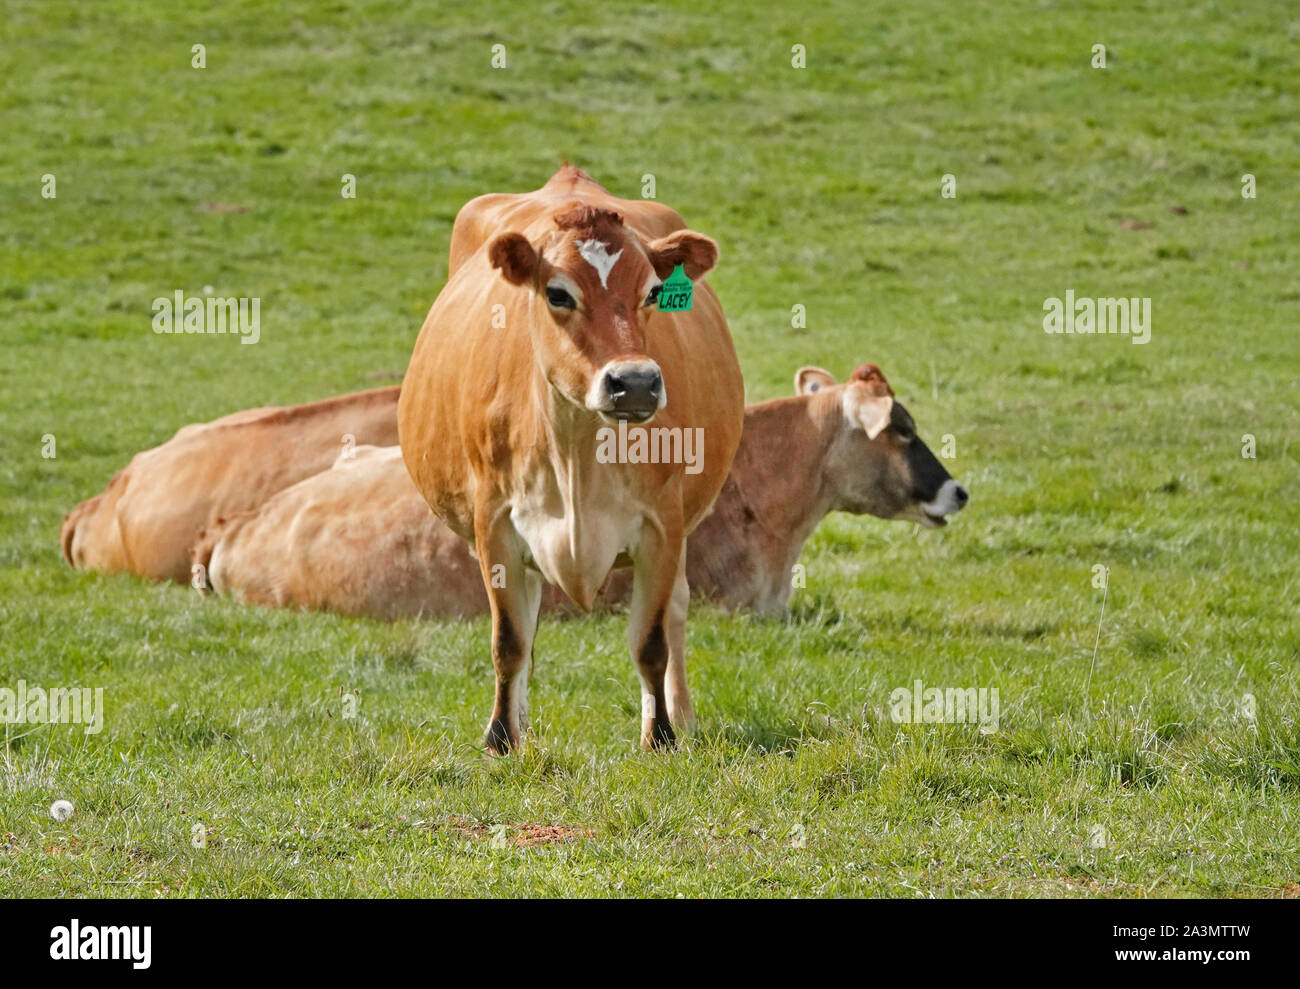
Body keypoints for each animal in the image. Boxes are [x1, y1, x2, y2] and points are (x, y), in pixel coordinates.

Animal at [395, 165, 748, 748]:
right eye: (558, 293)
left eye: (654, 292)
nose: (635, 382)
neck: (577, 447)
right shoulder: (493, 522)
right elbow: (510, 640)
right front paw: (501, 738)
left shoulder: (663, 524)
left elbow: (651, 641)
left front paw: (661, 737)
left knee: (675, 612)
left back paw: (682, 716)